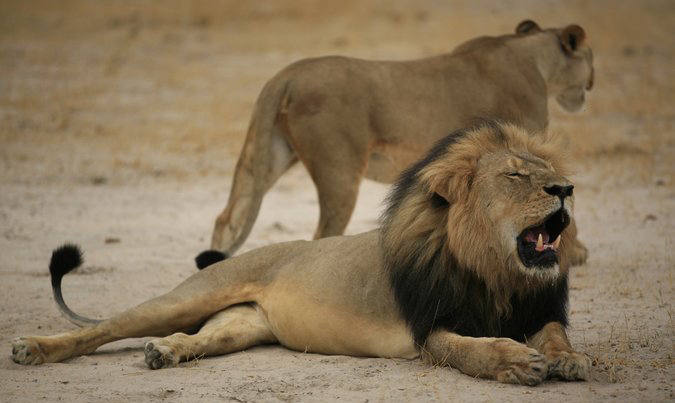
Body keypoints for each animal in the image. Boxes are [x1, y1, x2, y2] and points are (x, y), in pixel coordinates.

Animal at [12, 122, 590, 385]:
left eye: (547, 171)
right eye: (515, 176)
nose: (566, 189)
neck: (496, 273)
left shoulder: (536, 309)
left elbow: (555, 334)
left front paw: (568, 359)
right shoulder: (430, 329)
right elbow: (472, 350)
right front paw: (515, 362)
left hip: (241, 325)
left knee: (197, 338)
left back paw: (165, 353)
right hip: (188, 296)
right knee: (102, 329)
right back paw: (33, 348)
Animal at [205, 20, 594, 262]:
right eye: (590, 59)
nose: (591, 84)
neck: (534, 57)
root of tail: (285, 75)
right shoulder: (522, 145)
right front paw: (573, 253)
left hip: (270, 154)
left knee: (228, 217)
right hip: (339, 171)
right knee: (322, 234)